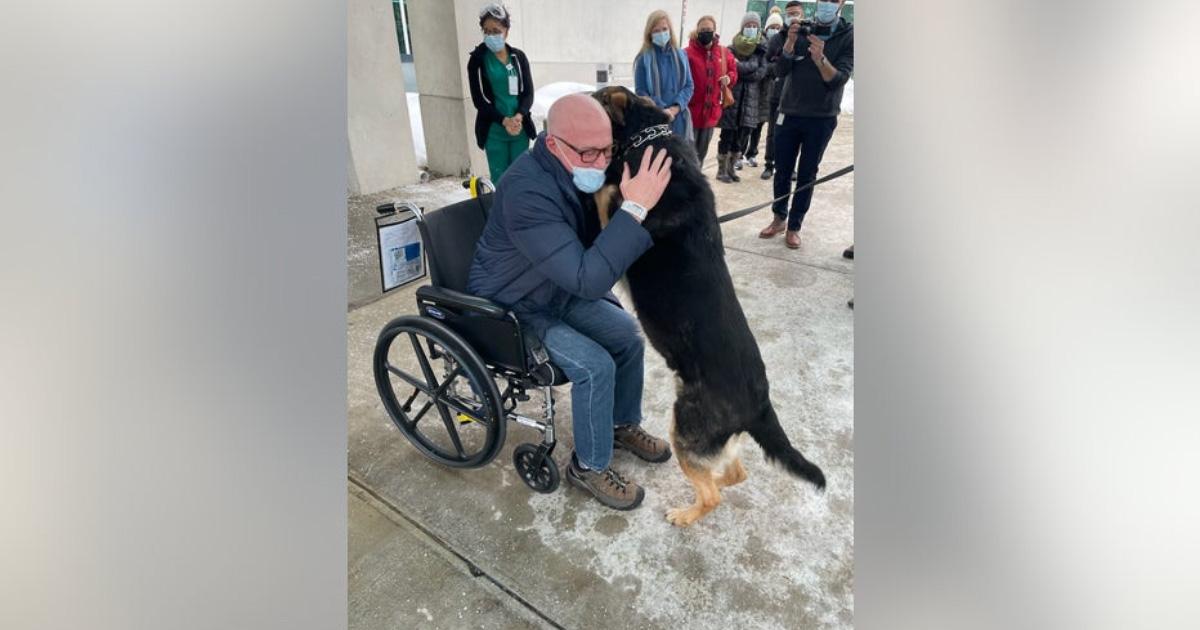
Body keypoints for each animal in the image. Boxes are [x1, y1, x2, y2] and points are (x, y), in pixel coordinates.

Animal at [588, 85, 825, 523]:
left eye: (593, 100)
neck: (649, 136)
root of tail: (760, 404)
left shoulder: (614, 220)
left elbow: (604, 192)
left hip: (685, 428)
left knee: (713, 492)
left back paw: (684, 515)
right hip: (704, 436)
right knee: (734, 474)